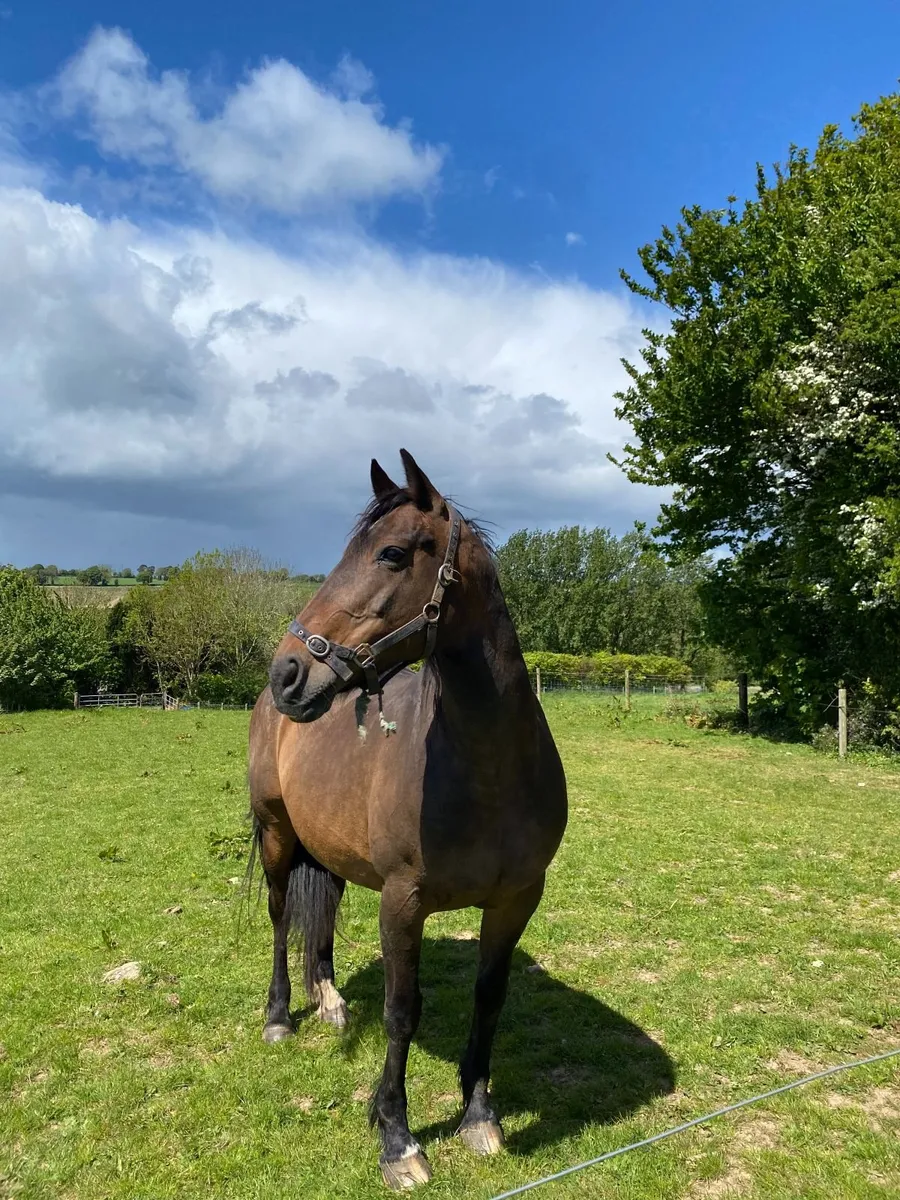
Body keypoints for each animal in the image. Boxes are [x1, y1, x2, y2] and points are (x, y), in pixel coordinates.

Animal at [249, 449, 568, 1189]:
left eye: (391, 553)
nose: (288, 674)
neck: (487, 770)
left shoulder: (516, 900)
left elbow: (489, 999)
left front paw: (479, 1115)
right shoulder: (403, 901)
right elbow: (402, 1013)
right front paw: (398, 1141)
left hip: (326, 848)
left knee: (321, 918)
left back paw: (330, 1001)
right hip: (277, 835)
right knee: (280, 918)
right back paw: (281, 1015)